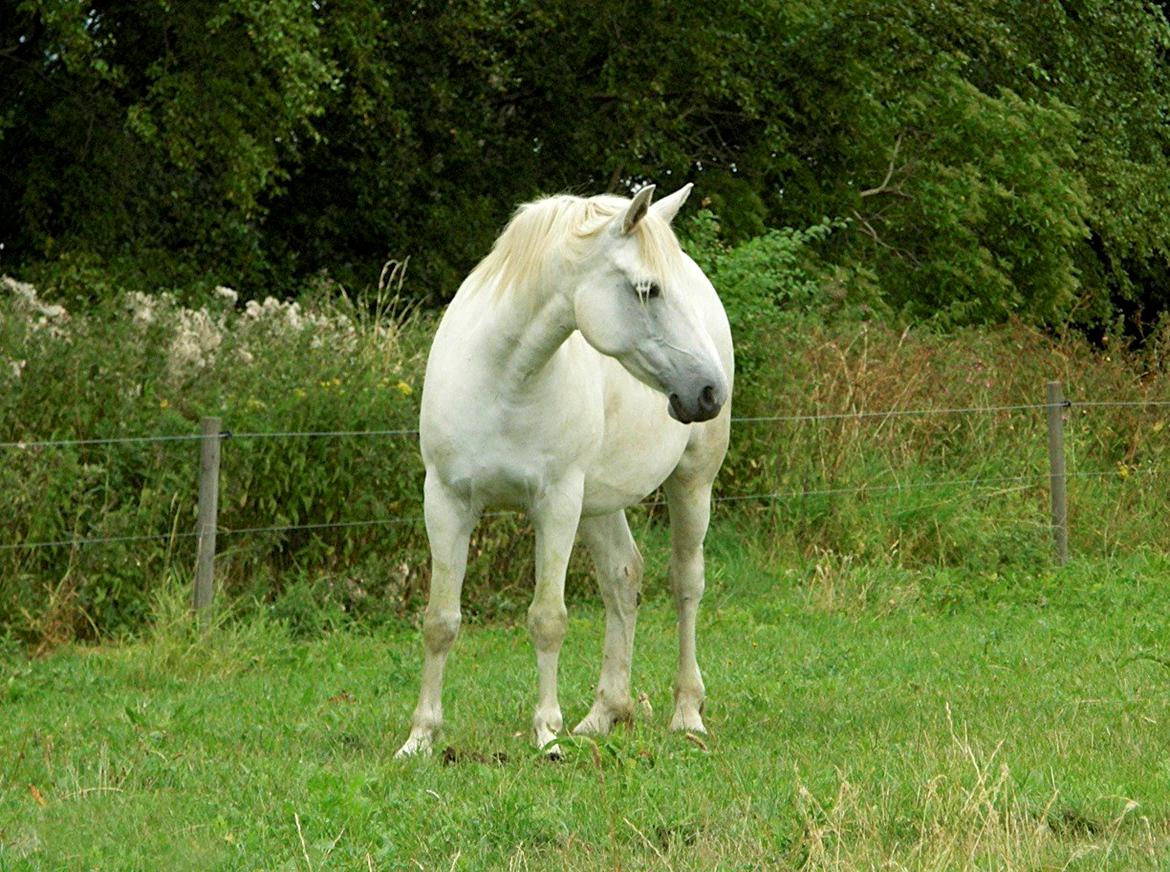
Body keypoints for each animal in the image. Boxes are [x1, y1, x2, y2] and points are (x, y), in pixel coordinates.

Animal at [397, 183, 734, 753]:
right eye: (648, 290)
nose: (709, 392)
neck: (504, 378)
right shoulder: (445, 501)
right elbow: (440, 620)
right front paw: (420, 737)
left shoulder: (555, 504)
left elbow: (547, 620)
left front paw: (547, 735)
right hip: (599, 503)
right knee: (623, 579)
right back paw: (604, 714)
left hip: (691, 483)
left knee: (686, 585)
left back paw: (687, 712)